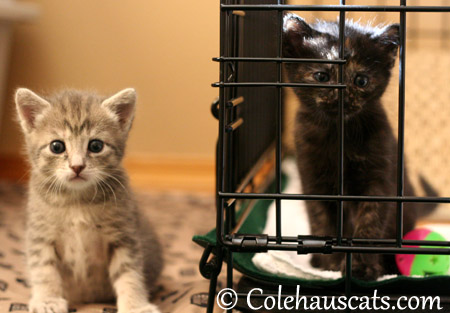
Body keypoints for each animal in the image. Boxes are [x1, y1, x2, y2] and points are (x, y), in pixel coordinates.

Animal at [15, 88, 163, 312]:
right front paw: (47, 300)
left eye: (96, 145)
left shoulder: (124, 234)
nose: (77, 166)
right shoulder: (41, 234)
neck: (77, 201)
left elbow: (129, 272)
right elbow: (44, 269)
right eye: (57, 146)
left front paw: (135, 305)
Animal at [284, 13, 420, 280]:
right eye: (322, 77)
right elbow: (321, 221)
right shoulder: (313, 179)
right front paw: (329, 265)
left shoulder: (379, 178)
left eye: (361, 80)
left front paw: (361, 268)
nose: (342, 95)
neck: (339, 136)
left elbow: (369, 223)